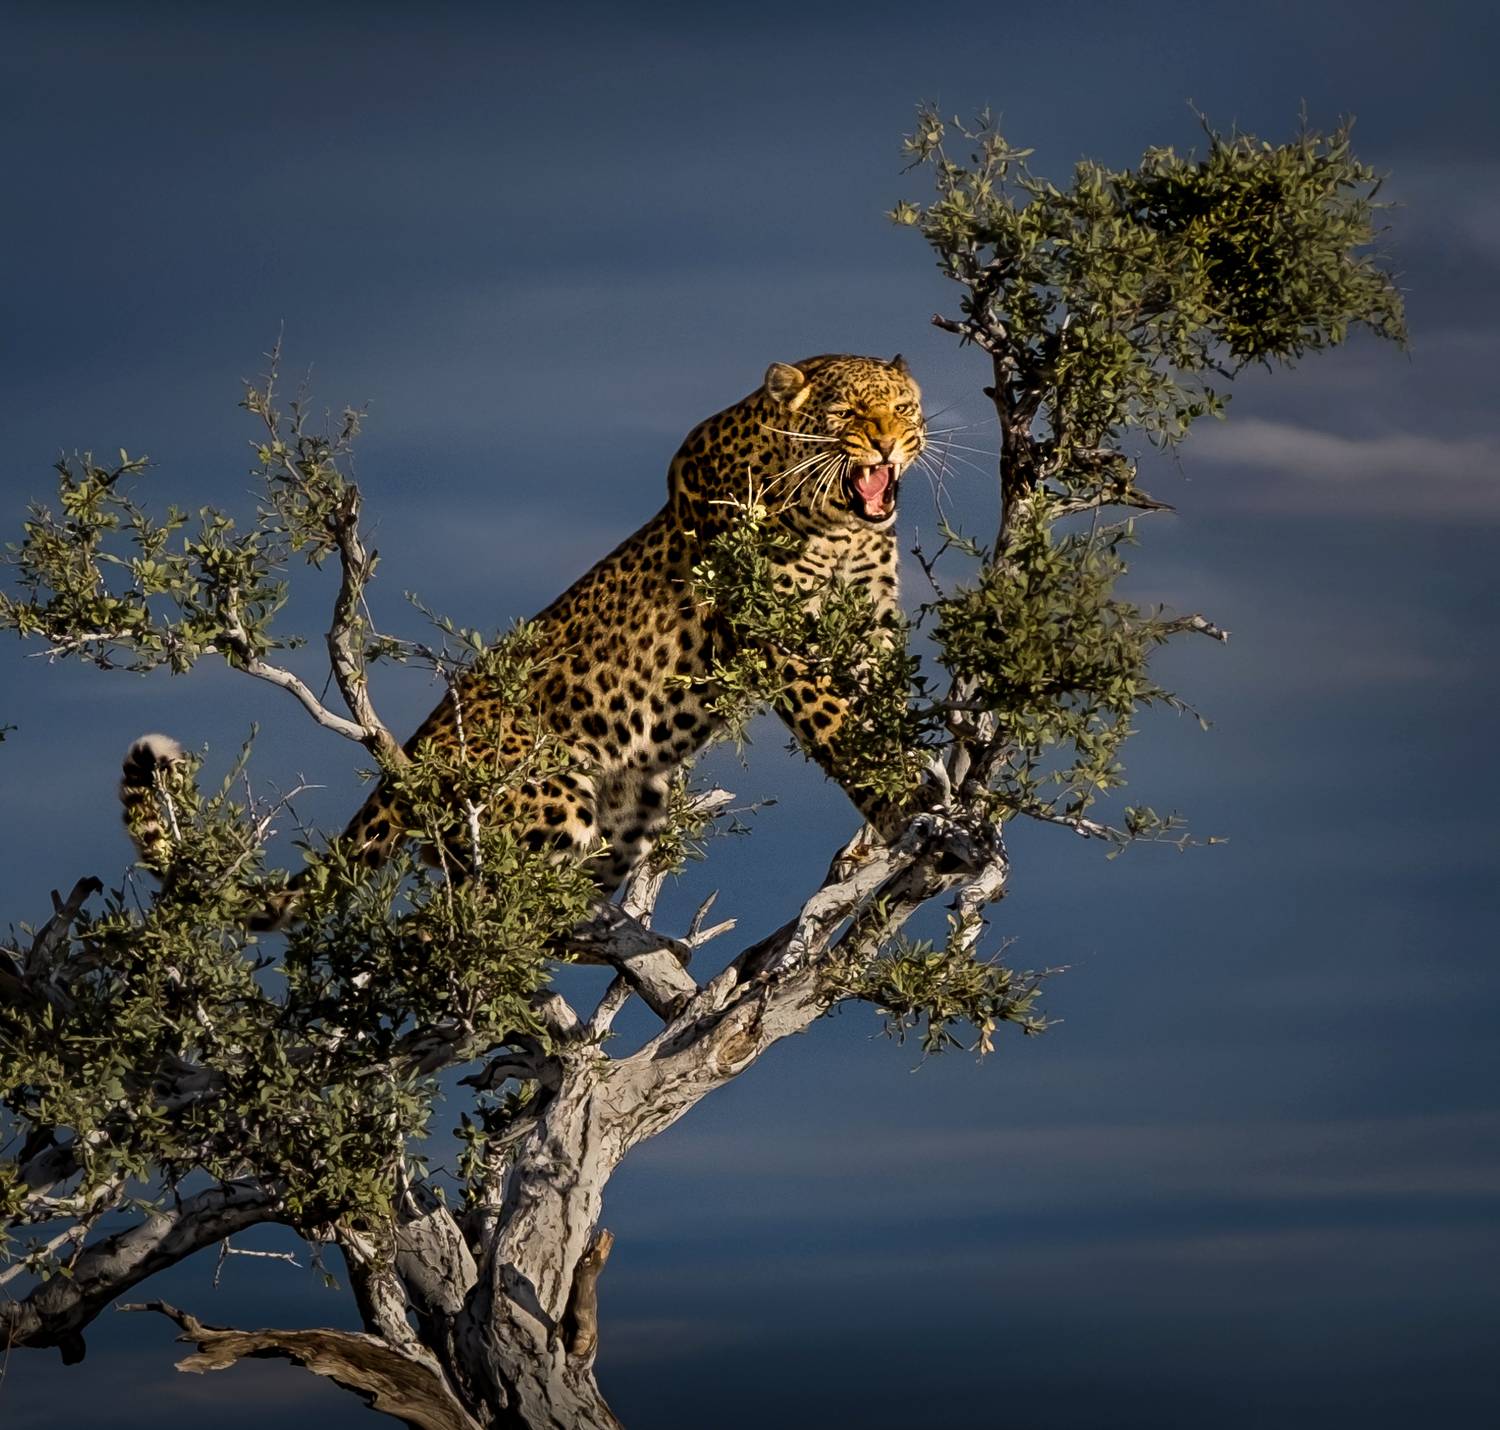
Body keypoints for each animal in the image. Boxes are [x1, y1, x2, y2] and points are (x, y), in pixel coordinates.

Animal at [120, 353, 928, 926]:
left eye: (902, 407)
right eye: (848, 411)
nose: (887, 444)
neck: (839, 523)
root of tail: (413, 758)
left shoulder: (870, 625)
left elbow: (884, 709)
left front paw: (914, 791)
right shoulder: (779, 638)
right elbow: (840, 728)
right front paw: (906, 807)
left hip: (630, 806)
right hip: (552, 796)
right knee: (454, 920)